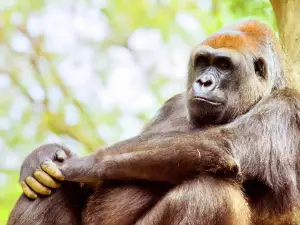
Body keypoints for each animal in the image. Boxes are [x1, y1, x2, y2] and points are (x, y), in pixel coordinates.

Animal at [8, 19, 300, 225]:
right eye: (203, 61)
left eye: (224, 65)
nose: (204, 81)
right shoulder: (174, 102)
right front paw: (41, 156)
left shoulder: (288, 106)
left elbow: (224, 146)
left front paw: (76, 164)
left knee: (211, 195)